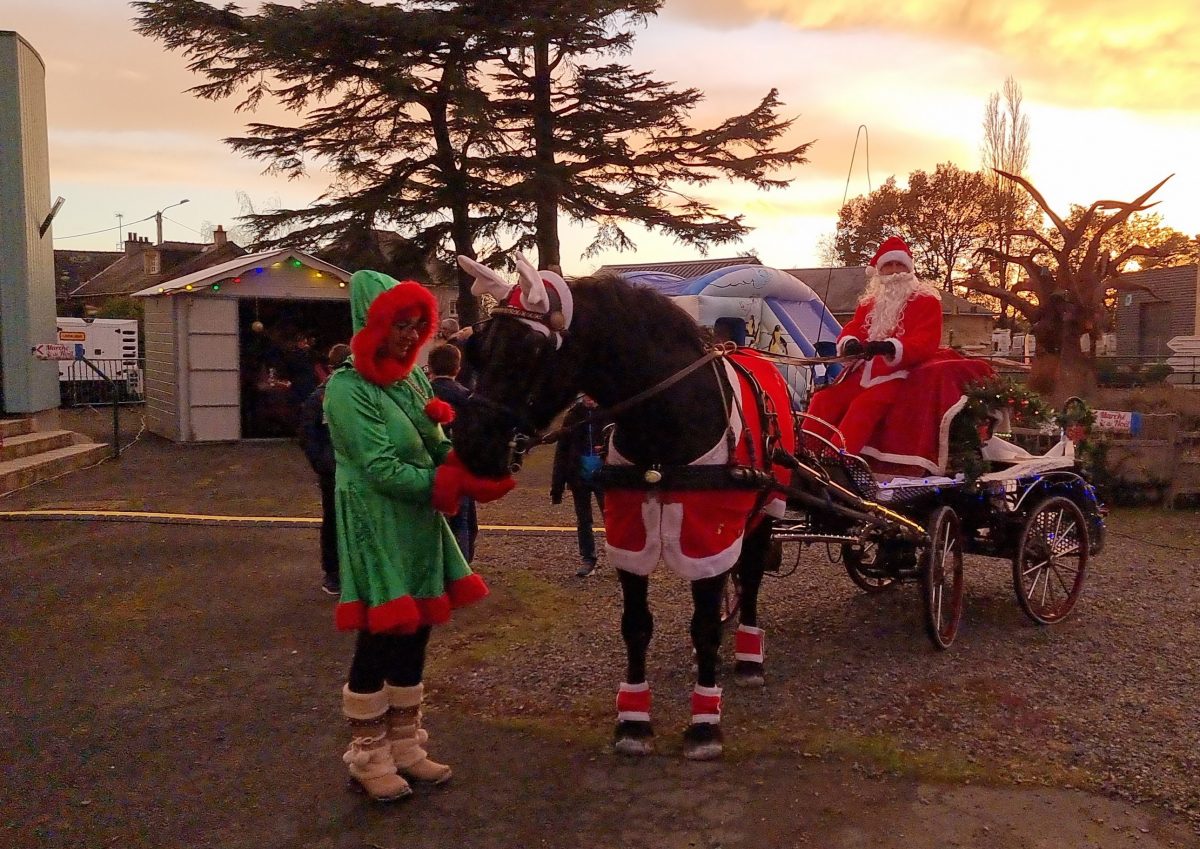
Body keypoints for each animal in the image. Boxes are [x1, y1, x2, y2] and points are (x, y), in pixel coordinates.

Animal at [451, 254, 787, 762]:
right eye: (480, 349)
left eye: (529, 351)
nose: (471, 444)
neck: (666, 424)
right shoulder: (630, 533)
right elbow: (636, 625)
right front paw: (633, 720)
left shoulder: (708, 532)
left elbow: (705, 625)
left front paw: (705, 724)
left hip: (767, 508)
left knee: (748, 580)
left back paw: (749, 657)